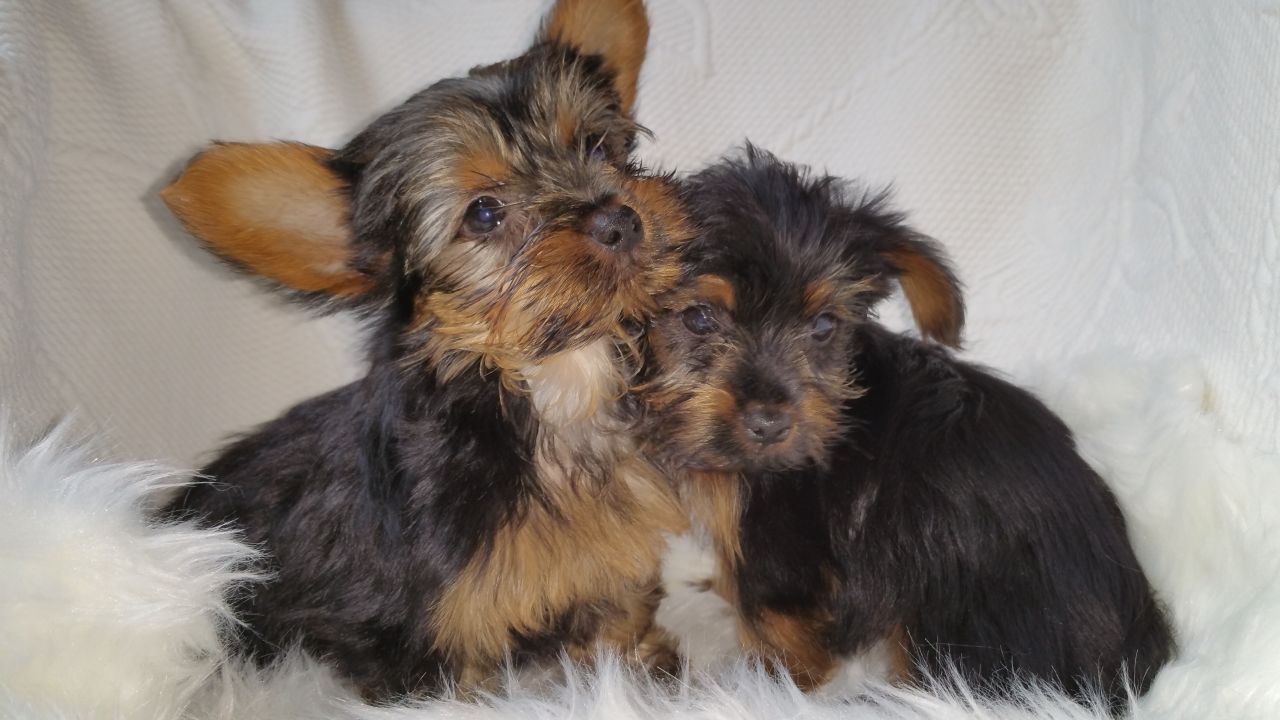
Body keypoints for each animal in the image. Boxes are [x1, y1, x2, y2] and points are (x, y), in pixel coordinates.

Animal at [163, 0, 696, 696]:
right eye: (485, 215)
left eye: (596, 146)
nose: (620, 218)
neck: (554, 383)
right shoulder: (424, 631)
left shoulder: (615, 550)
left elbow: (620, 616)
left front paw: (639, 672)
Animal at [645, 146, 1172, 707]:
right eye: (699, 318)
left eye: (823, 326)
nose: (770, 423)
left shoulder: (783, 542)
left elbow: (773, 619)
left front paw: (768, 687)